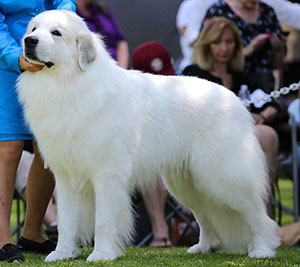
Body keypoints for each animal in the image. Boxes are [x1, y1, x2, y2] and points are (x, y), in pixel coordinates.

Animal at [17, 9, 282, 262]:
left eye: (56, 33)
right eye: (34, 29)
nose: (28, 41)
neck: (68, 84)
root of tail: (236, 100)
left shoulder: (107, 174)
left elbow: (103, 221)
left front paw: (101, 255)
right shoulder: (65, 176)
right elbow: (66, 222)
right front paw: (61, 254)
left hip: (224, 177)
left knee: (257, 214)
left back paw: (262, 249)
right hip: (188, 183)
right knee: (205, 216)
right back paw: (205, 247)